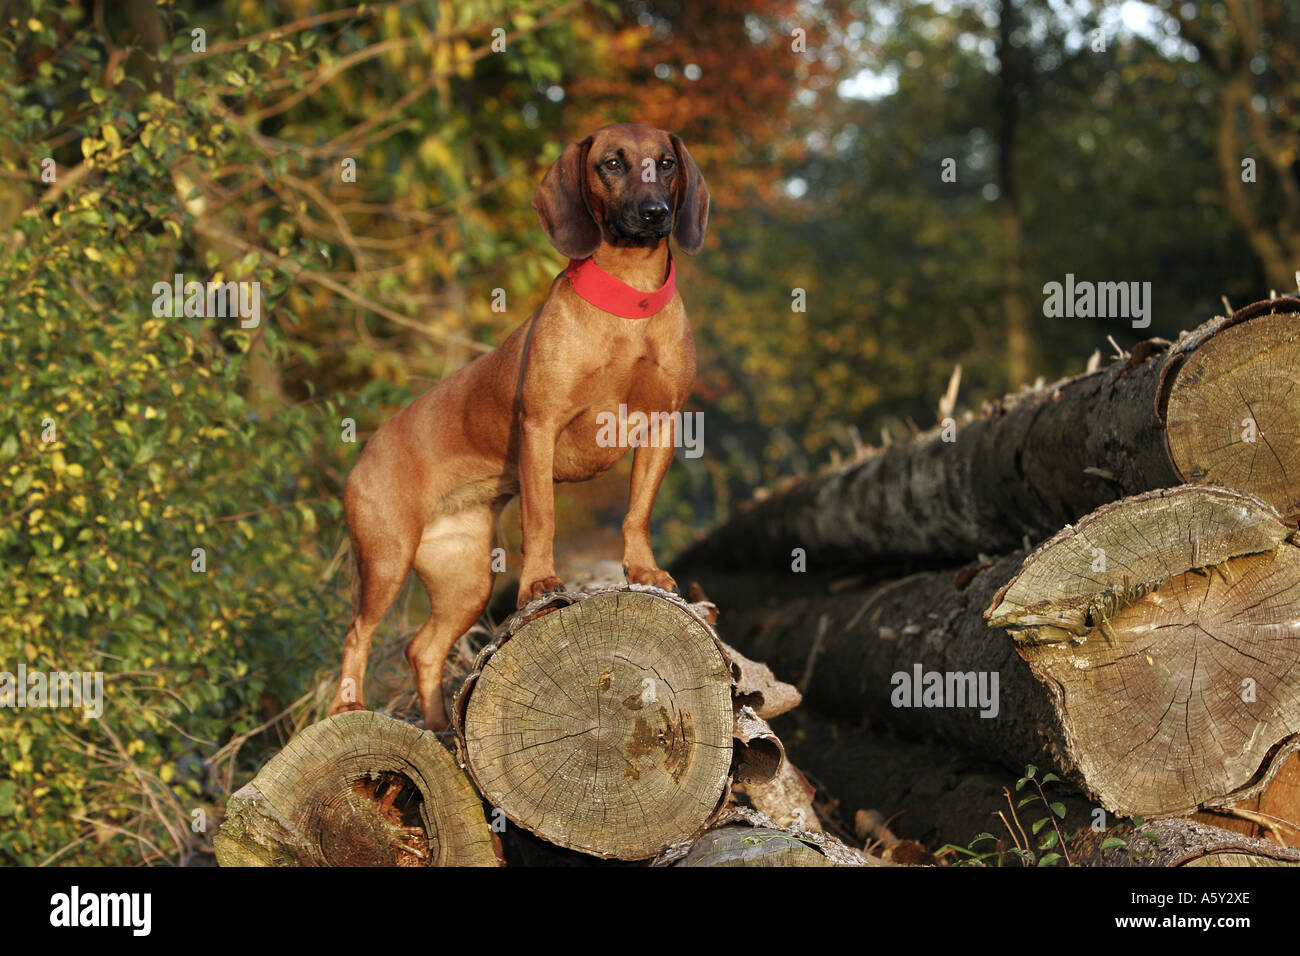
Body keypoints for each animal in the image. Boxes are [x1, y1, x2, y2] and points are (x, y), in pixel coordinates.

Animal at [325, 121, 712, 733]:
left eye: (667, 162)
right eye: (611, 162)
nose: (655, 212)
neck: (627, 303)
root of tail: (366, 449)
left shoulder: (661, 427)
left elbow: (637, 513)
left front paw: (645, 569)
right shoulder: (540, 427)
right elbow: (542, 517)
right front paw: (539, 584)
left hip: (465, 578)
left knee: (422, 648)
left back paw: (439, 728)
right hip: (385, 557)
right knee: (358, 631)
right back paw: (348, 705)